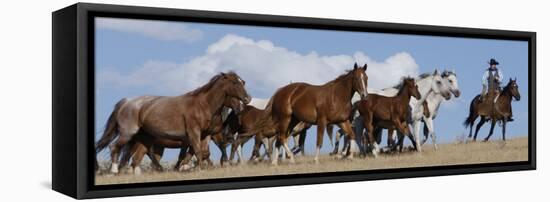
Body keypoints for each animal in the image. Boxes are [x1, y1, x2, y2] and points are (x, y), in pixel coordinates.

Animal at [96, 71, 251, 174]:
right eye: (234, 82)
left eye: (243, 82)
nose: (247, 99)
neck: (203, 105)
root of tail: (126, 102)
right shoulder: (193, 133)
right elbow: (198, 151)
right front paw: (197, 169)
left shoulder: (203, 135)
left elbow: (198, 152)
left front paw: (186, 167)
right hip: (128, 133)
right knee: (114, 147)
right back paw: (114, 170)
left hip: (145, 138)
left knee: (137, 156)